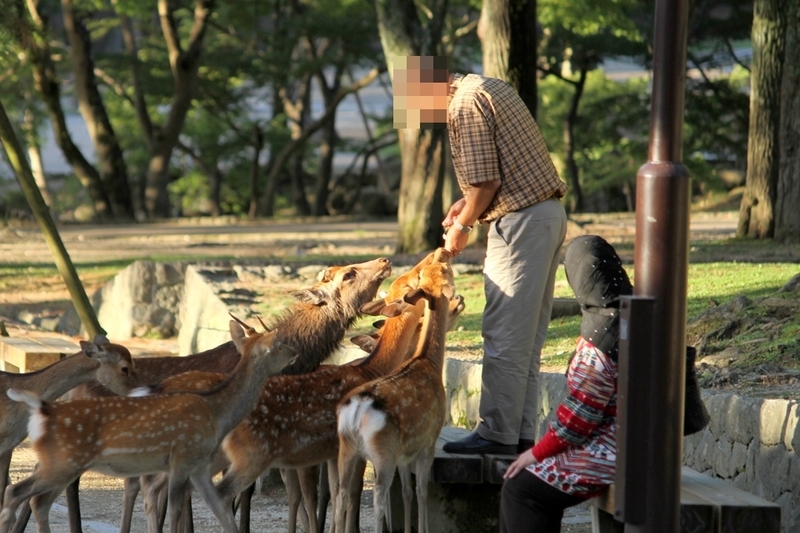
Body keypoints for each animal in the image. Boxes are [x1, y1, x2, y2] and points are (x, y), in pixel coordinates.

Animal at [0, 320, 296, 532]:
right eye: (279, 344)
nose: (296, 352)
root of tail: (41, 408)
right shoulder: (183, 459)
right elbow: (178, 506)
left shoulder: (197, 465)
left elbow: (216, 505)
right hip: (65, 462)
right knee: (24, 492)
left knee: (34, 495)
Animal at [332, 258, 456, 532]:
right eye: (446, 273)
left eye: (428, 273)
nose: (442, 257)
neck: (429, 363)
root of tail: (356, 411)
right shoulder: (428, 440)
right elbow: (421, 491)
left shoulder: (404, 452)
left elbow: (408, 492)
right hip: (383, 450)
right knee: (378, 497)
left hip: (346, 448)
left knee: (342, 495)